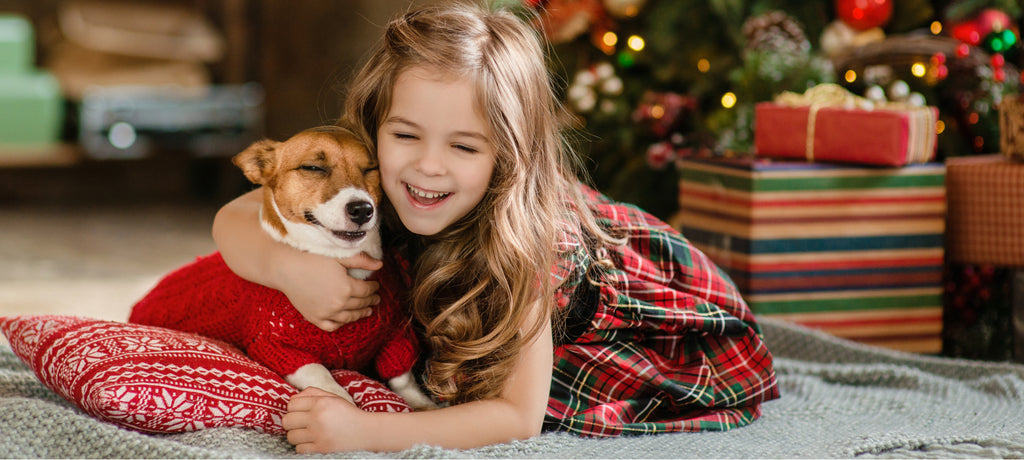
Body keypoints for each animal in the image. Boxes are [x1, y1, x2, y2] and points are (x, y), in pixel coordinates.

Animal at [130, 125, 434, 409]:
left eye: (372, 168)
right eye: (313, 167)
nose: (362, 209)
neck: (341, 261)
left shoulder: (397, 337)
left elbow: (402, 377)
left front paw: (421, 403)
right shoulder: (275, 347)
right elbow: (319, 373)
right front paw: (337, 398)